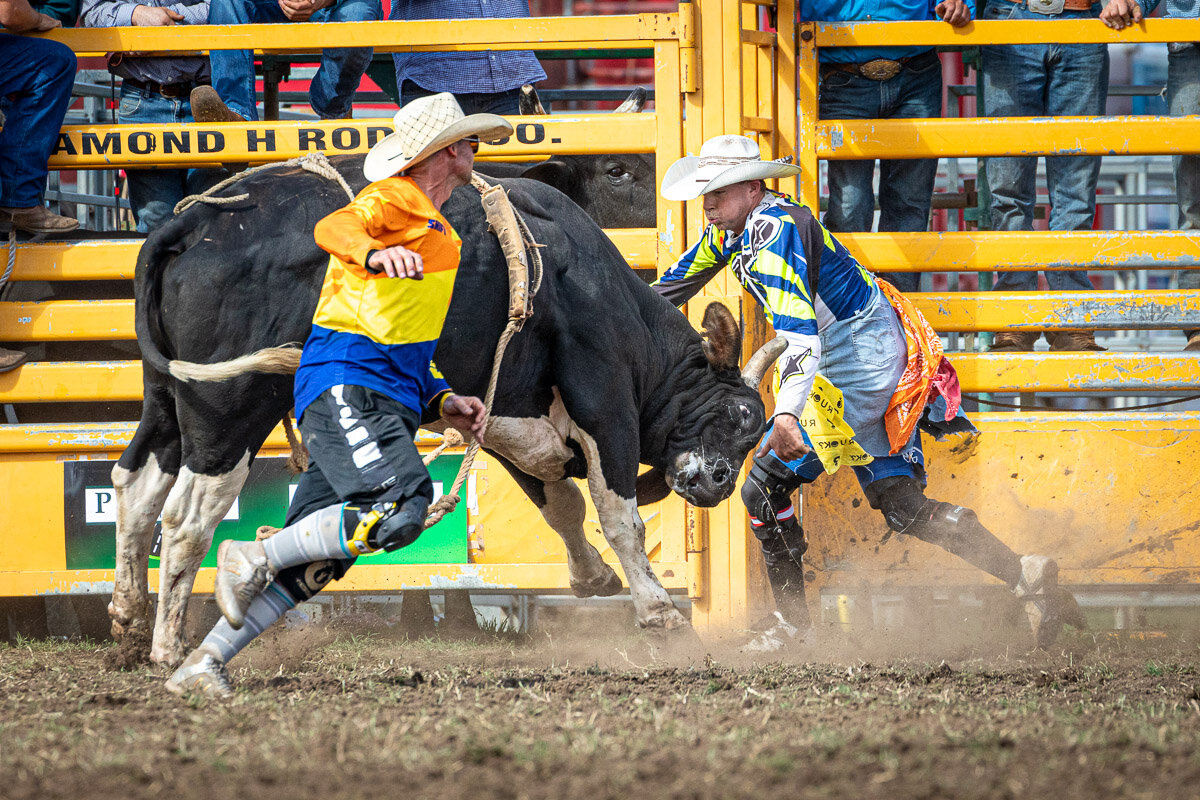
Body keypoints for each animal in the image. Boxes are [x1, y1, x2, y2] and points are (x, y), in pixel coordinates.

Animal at [112, 159, 782, 666]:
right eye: (741, 416)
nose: (718, 484)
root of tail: (196, 219)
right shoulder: (603, 393)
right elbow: (617, 514)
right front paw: (656, 609)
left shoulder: (509, 411)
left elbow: (559, 502)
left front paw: (592, 577)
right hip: (231, 403)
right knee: (186, 519)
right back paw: (169, 647)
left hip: (166, 395)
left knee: (137, 486)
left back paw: (127, 617)